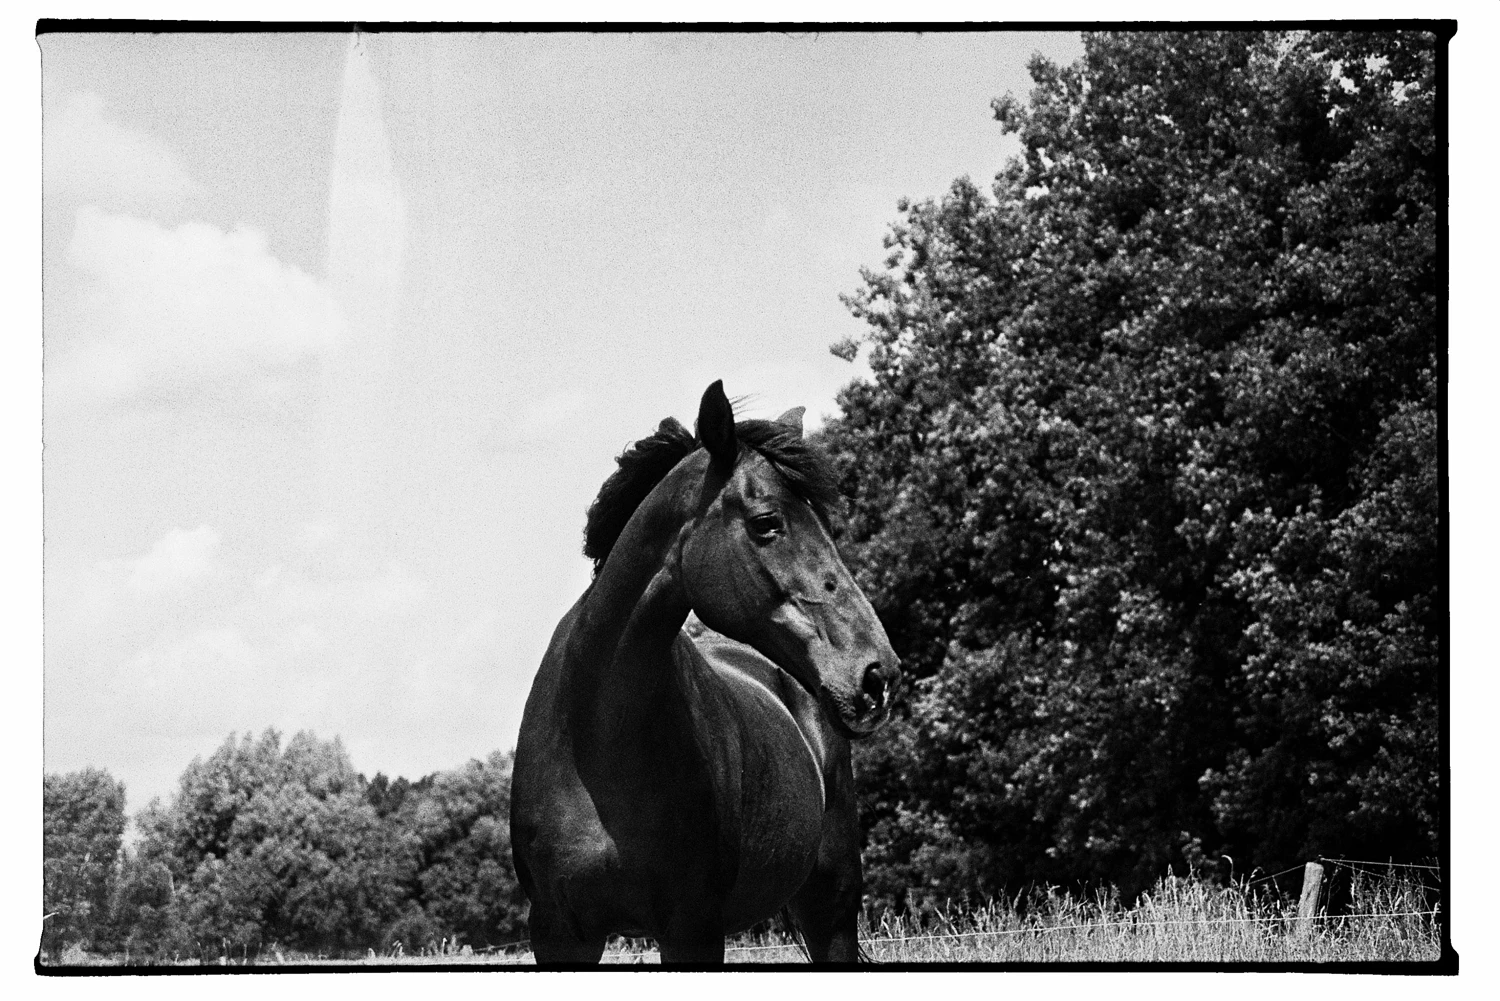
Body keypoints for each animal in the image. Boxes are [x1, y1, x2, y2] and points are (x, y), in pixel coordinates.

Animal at [509, 380, 900, 965]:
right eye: (766, 523)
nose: (877, 675)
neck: (594, 738)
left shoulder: (692, 928)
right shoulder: (559, 935)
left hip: (831, 908)